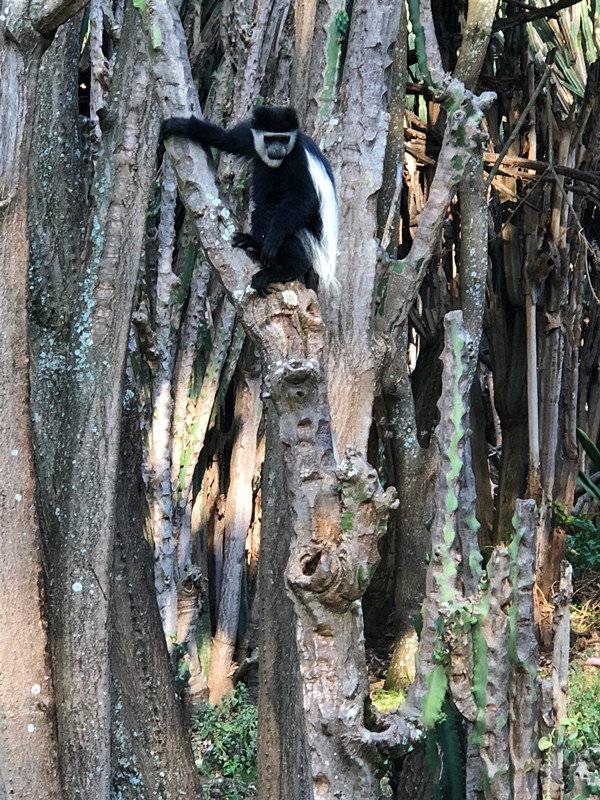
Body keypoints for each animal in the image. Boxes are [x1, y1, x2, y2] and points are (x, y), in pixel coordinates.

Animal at [161, 104, 338, 296]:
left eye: (283, 139)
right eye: (270, 139)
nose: (277, 149)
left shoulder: (299, 159)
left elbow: (304, 198)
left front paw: (274, 237)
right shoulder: (249, 136)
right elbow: (226, 140)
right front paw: (183, 125)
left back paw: (284, 269)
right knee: (261, 213)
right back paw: (254, 243)